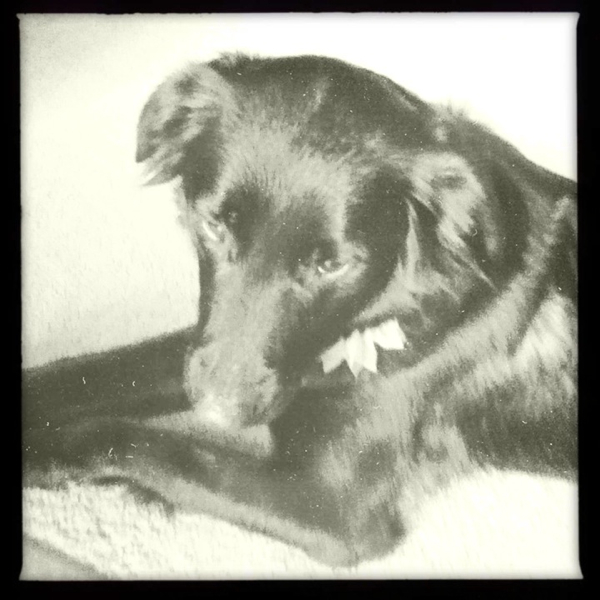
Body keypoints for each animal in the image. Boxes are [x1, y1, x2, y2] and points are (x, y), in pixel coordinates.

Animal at [23, 54, 577, 567]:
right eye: (214, 226)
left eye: (332, 265)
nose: (219, 407)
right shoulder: (209, 345)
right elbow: (106, 367)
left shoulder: (334, 508)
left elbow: (153, 447)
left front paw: (42, 451)